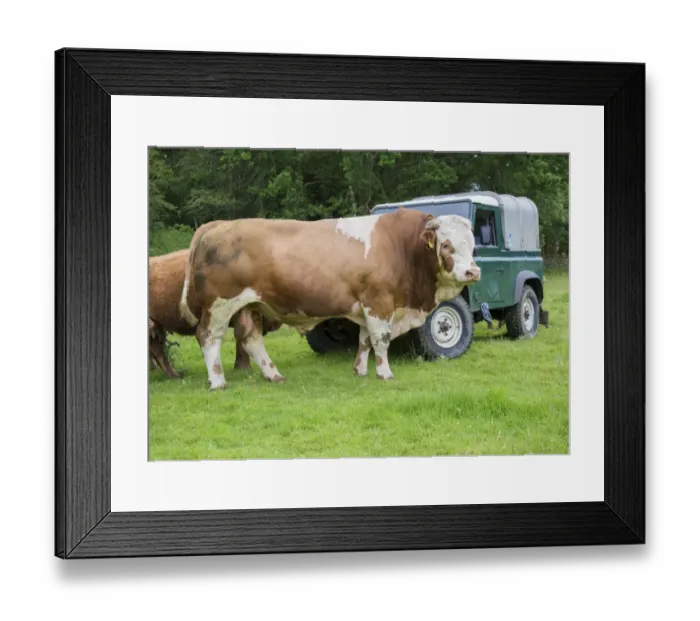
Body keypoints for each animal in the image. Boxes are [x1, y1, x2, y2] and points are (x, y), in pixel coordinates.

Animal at [178, 207, 481, 391]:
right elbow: (380, 340)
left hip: (252, 304)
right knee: (209, 337)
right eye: (446, 244)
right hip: (219, 304)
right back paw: (218, 381)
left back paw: (274, 375)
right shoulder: (379, 302)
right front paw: (384, 373)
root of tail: (218, 225)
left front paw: (360, 370)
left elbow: (365, 340)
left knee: (251, 339)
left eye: (473, 244)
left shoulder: (366, 306)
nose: (473, 271)